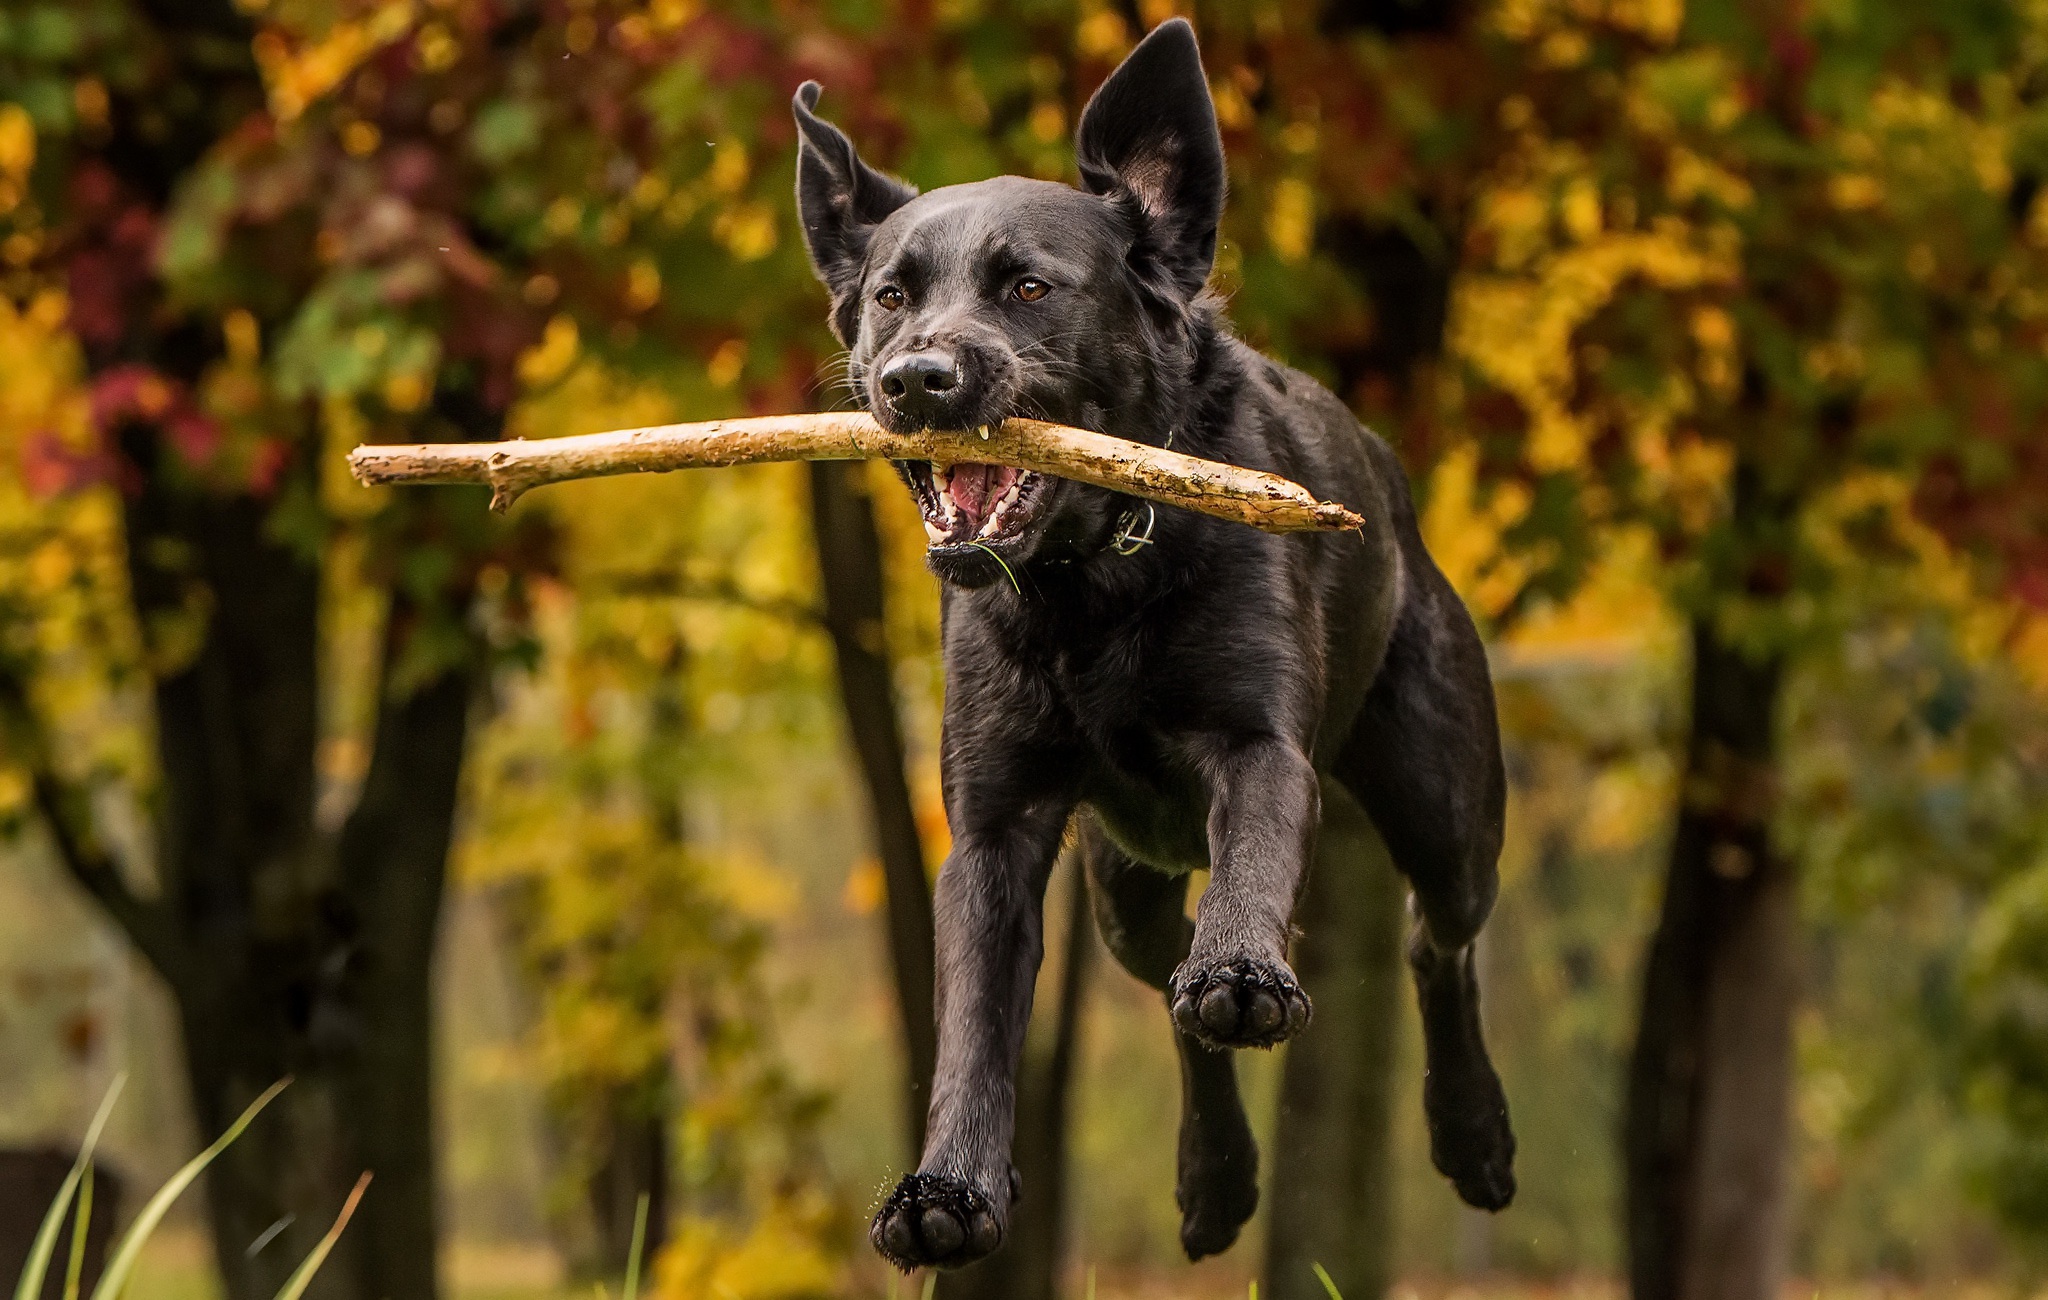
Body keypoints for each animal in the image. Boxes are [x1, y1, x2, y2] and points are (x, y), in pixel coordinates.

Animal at [790, 17, 1515, 1269]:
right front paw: (946, 1190)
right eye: (889, 294)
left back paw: (1470, 1135)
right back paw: (1213, 1179)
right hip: (1122, 888)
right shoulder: (992, 828)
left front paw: (1242, 970)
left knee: (1438, 942)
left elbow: (1252, 871)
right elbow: (972, 1020)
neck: (1090, 590)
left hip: (1442, 803)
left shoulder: (1259, 749)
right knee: (1168, 973)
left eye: (1029, 286)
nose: (914, 378)